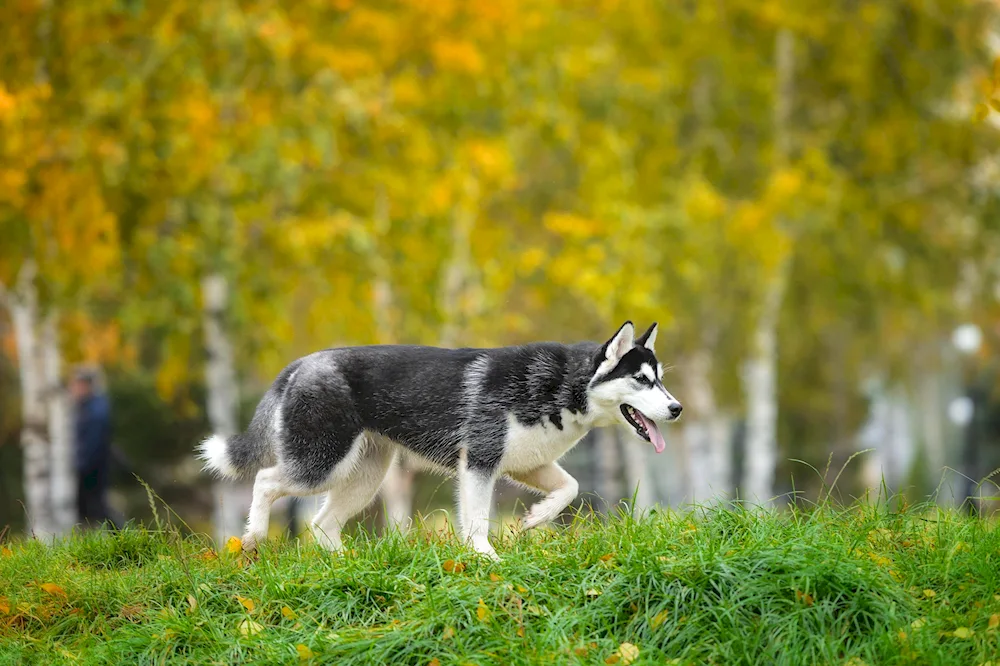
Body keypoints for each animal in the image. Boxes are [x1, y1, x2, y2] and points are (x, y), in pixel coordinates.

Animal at [197, 320, 680, 556]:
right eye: (640, 380)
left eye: (659, 379)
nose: (676, 408)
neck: (563, 385)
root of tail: (302, 362)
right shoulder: (479, 462)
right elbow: (477, 520)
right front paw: (485, 557)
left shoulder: (528, 463)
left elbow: (571, 487)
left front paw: (535, 518)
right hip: (321, 463)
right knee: (266, 481)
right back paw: (254, 535)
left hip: (364, 477)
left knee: (322, 523)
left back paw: (347, 567)